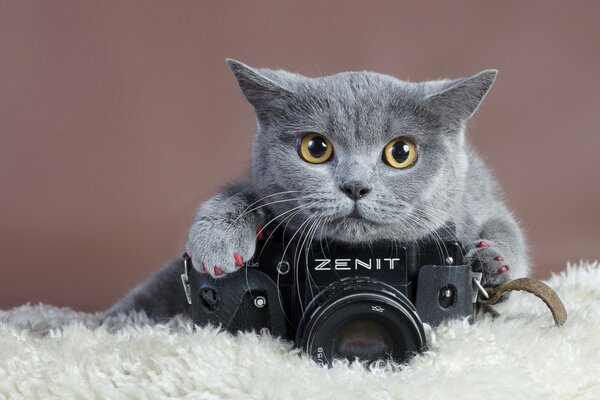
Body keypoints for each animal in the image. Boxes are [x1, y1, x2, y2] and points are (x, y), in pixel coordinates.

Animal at [105, 60, 528, 322]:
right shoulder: (259, 187)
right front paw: (216, 245)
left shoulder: (477, 201)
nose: (356, 185)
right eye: (315, 148)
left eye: (401, 152)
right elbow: (241, 195)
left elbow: (506, 229)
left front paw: (491, 263)